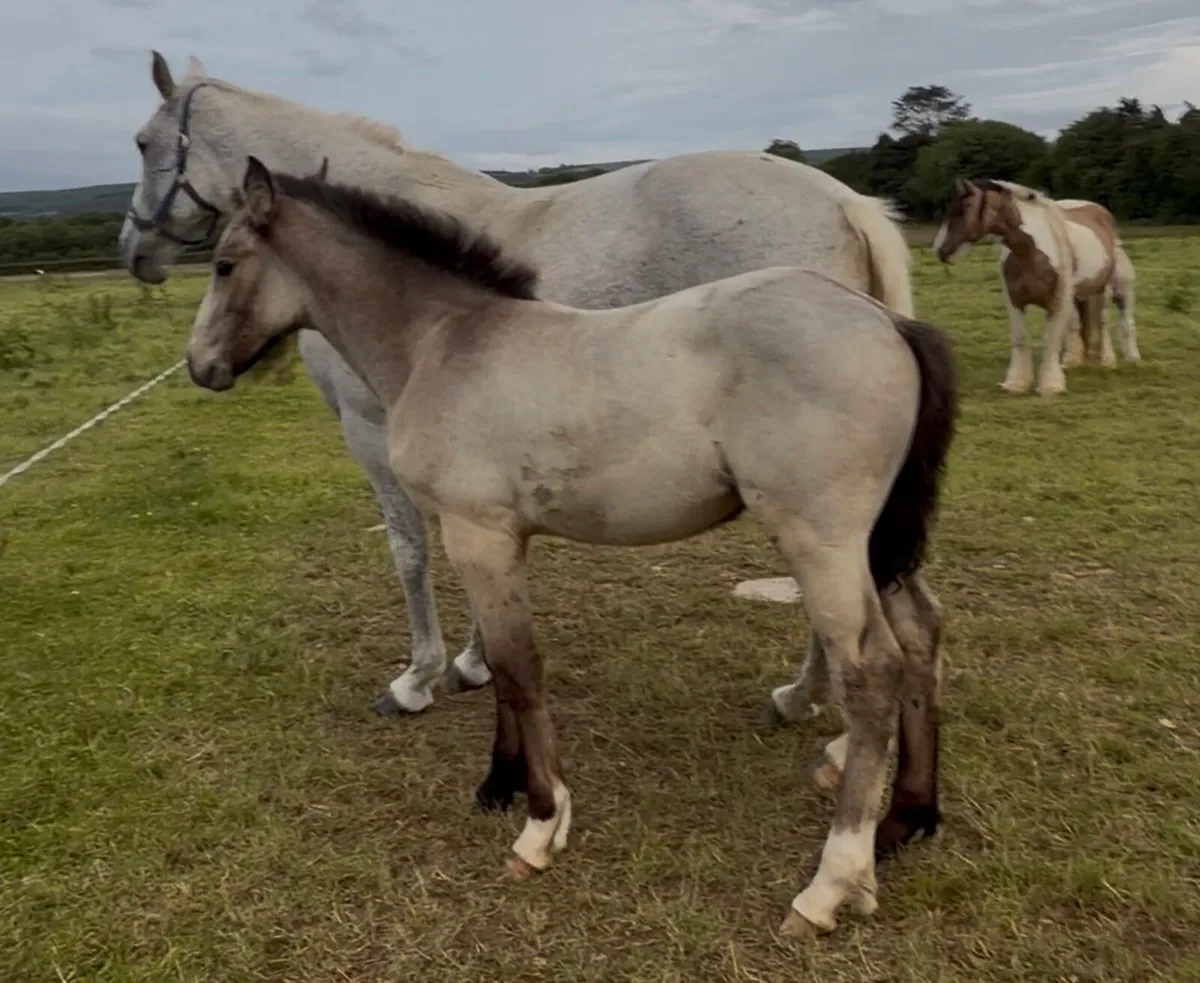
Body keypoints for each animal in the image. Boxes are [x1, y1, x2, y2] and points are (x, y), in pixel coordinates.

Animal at [117, 51, 915, 728]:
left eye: (143, 143)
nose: (134, 251)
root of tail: (844, 202)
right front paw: (473, 661)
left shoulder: (369, 430)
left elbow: (411, 550)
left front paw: (418, 678)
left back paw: (801, 697)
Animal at [184, 157, 959, 940]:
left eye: (224, 264)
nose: (200, 366)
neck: (445, 341)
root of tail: (889, 322)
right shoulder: (488, 539)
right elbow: (499, 664)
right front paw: (499, 781)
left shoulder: (477, 533)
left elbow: (519, 669)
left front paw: (540, 824)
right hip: (877, 543)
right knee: (921, 634)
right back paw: (908, 820)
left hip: (823, 541)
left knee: (872, 672)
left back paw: (831, 884)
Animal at [932, 178, 1139, 395]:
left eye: (964, 209)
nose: (940, 251)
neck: (1030, 251)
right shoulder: (1015, 301)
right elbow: (1021, 337)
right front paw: (1016, 383)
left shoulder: (1056, 301)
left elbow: (1051, 339)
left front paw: (1050, 385)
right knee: (1078, 324)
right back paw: (1072, 361)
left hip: (1103, 289)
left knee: (1103, 321)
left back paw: (1110, 360)